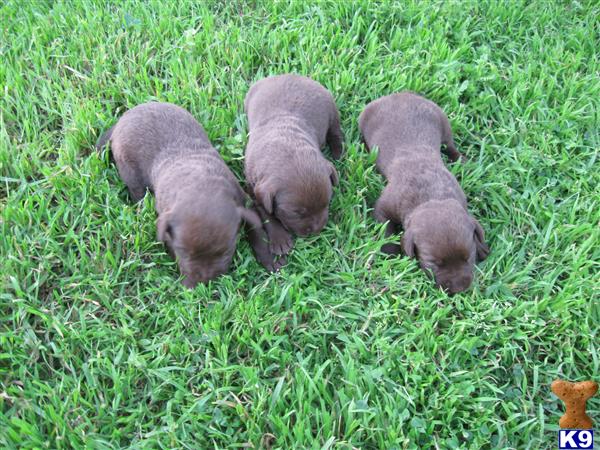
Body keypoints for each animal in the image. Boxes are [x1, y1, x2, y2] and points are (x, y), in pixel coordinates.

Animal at [96, 102, 282, 288]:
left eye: (226, 252)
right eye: (183, 252)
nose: (204, 283)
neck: (200, 182)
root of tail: (122, 120)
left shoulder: (244, 202)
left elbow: (256, 230)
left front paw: (268, 257)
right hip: (128, 168)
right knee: (136, 191)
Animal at [244, 75, 344, 255]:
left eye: (326, 203)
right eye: (297, 213)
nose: (317, 230)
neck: (286, 143)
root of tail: (290, 75)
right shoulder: (253, 187)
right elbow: (267, 213)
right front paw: (280, 239)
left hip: (331, 107)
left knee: (335, 130)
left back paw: (338, 150)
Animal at [358, 92, 490, 296]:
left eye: (469, 257)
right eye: (433, 263)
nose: (459, 289)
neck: (431, 195)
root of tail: (399, 94)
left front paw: (482, 247)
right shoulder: (384, 206)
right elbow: (385, 227)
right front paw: (390, 251)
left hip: (442, 121)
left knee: (449, 144)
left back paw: (461, 159)